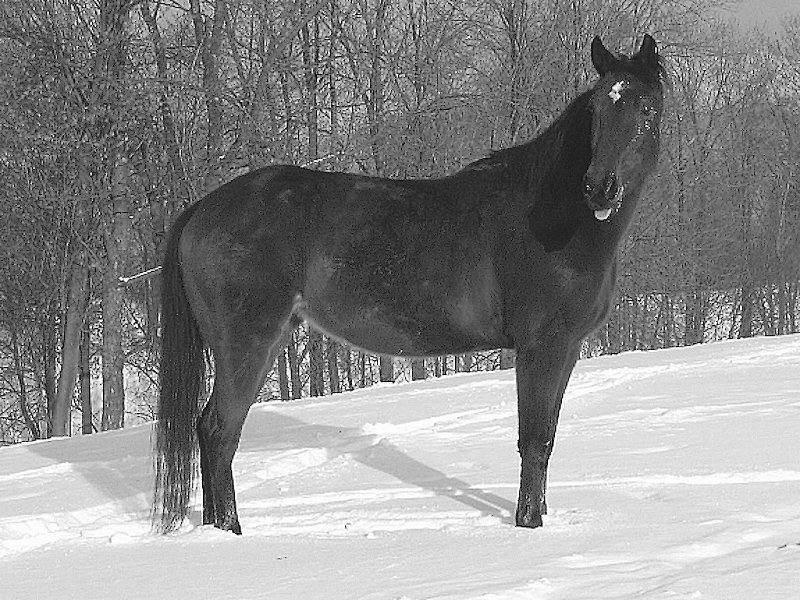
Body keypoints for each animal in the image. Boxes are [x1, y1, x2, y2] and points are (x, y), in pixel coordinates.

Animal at [153, 34, 666, 534]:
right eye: (597, 109)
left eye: (646, 109)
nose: (599, 187)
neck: (553, 220)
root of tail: (203, 207)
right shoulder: (542, 347)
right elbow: (534, 440)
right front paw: (528, 524)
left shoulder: (569, 348)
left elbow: (549, 438)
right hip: (248, 344)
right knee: (219, 431)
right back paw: (230, 533)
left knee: (211, 431)